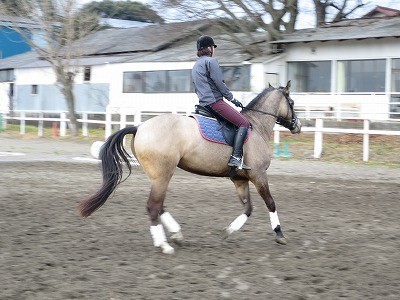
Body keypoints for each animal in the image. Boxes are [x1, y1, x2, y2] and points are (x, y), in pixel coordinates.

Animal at [78, 81, 302, 254]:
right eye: (291, 103)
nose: (298, 126)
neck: (256, 126)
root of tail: (140, 127)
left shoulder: (240, 179)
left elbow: (248, 209)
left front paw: (228, 231)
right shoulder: (258, 175)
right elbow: (270, 203)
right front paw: (279, 234)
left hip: (158, 176)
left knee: (159, 205)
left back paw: (176, 234)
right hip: (163, 175)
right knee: (153, 206)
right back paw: (164, 245)